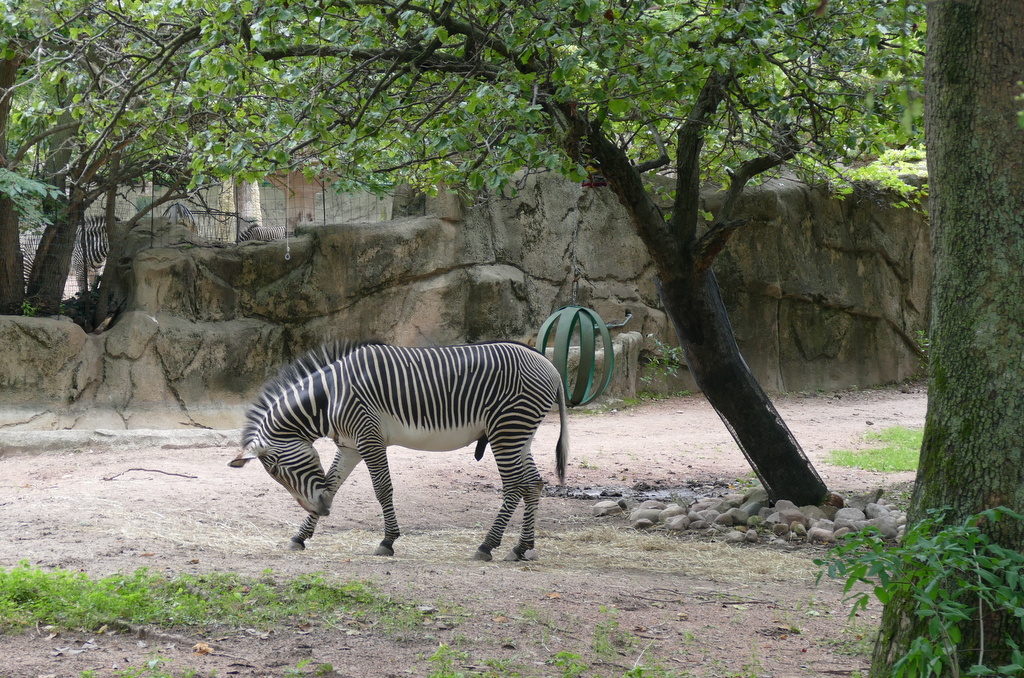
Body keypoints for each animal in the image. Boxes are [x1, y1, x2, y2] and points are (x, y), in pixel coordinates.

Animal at [227, 340, 573, 561]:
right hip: (519, 433)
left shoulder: (369, 438)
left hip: (508, 430)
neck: (329, 398)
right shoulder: (349, 445)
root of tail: (551, 366)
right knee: (533, 483)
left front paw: (388, 541)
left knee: (514, 485)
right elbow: (332, 484)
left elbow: (382, 489)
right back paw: (522, 547)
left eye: (277, 470)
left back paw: (487, 546)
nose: (321, 511)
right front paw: (300, 537)